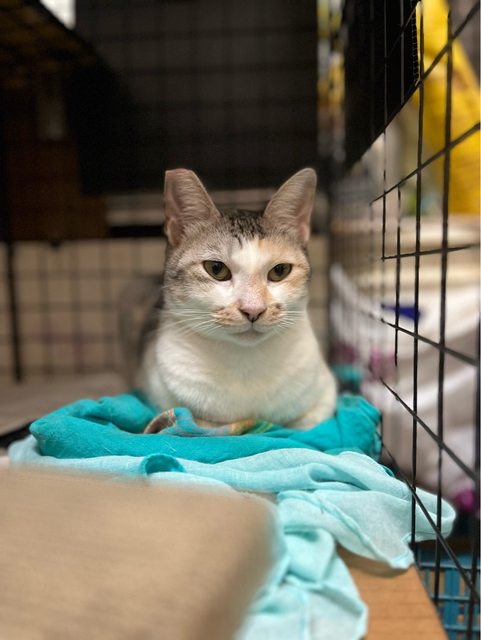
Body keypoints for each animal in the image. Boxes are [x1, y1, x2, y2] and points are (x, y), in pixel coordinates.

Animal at [138, 168, 336, 431]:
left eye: (280, 271)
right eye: (216, 269)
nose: (253, 310)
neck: (245, 364)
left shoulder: (325, 397)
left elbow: (303, 423)